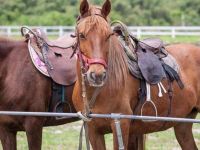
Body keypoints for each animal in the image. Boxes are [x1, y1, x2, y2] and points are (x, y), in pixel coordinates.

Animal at [72, 0, 200, 150]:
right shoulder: (93, 130)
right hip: (183, 125)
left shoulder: (120, 125)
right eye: (81, 35)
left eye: (108, 36)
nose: (97, 75)